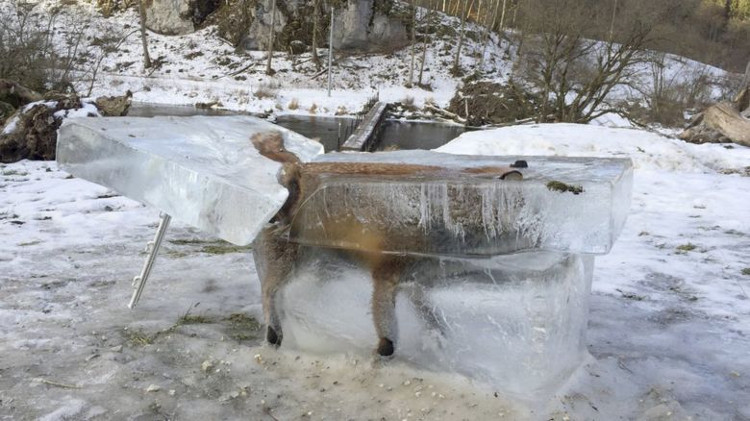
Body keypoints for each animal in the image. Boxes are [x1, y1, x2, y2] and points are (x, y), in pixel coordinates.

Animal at [251, 131, 523, 357]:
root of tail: (298, 167)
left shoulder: (416, 281)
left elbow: (432, 317)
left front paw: (437, 339)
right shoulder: (386, 275)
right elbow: (388, 333)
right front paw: (383, 353)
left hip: (323, 268)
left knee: (291, 295)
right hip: (292, 262)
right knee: (269, 291)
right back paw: (274, 332)